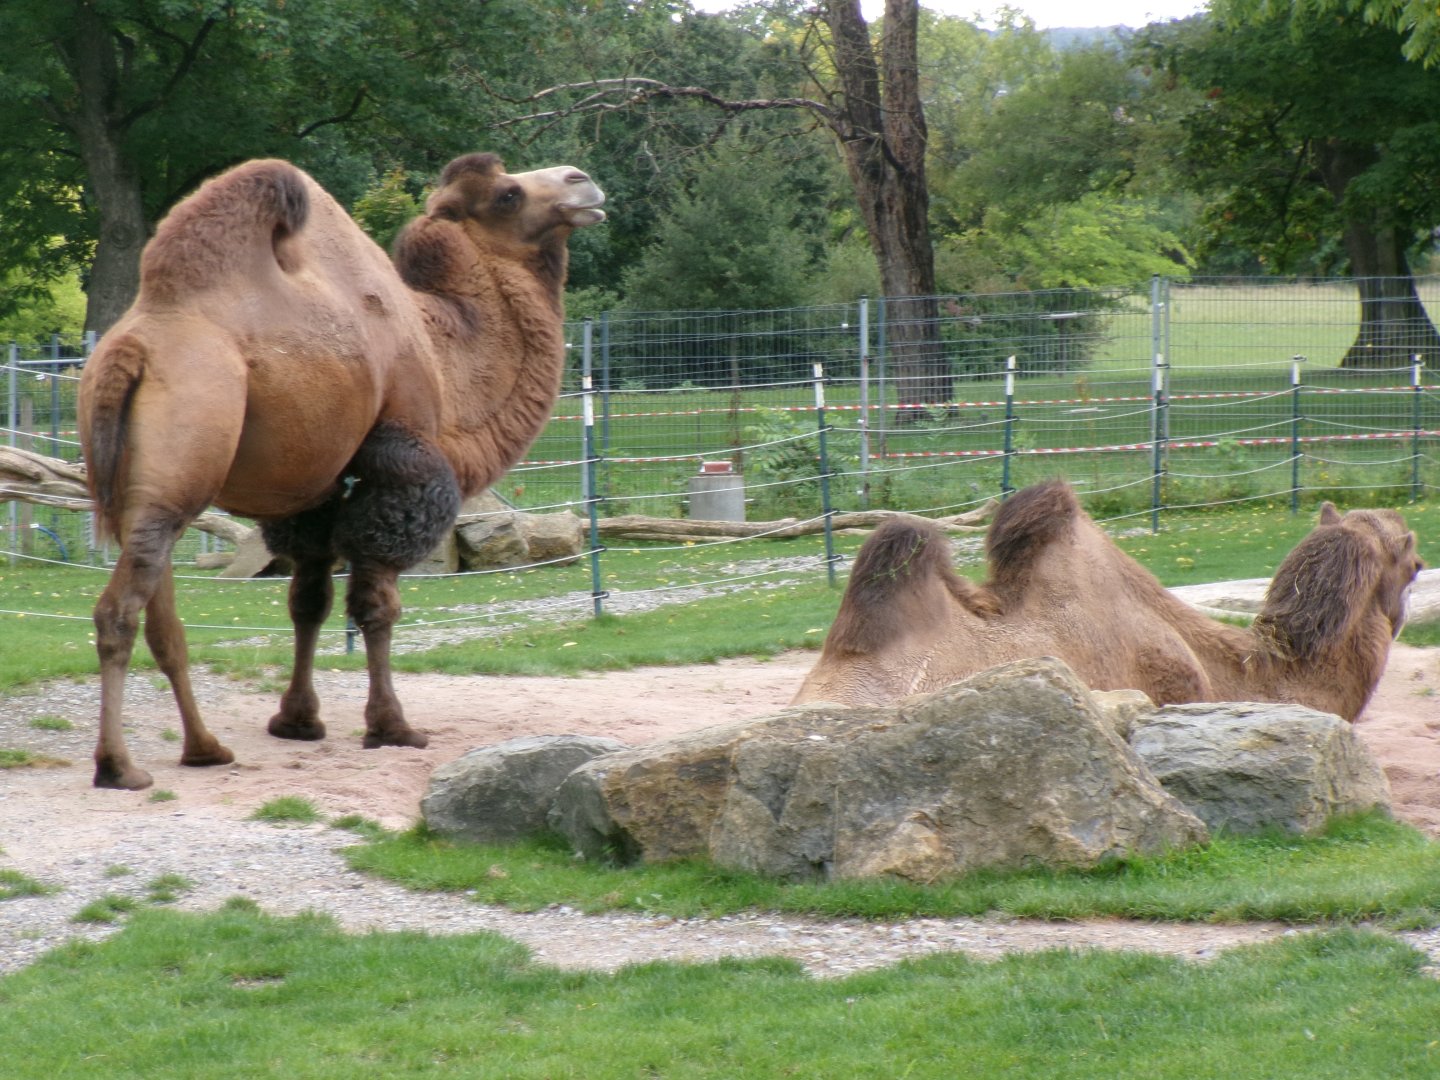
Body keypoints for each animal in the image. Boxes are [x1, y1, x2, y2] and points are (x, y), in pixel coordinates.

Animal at [79, 152, 605, 789]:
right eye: (508, 195)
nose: (582, 180)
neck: (443, 353)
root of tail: (129, 350)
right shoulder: (400, 464)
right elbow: (376, 604)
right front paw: (391, 727)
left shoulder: (316, 494)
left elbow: (308, 600)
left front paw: (297, 719)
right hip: (178, 469)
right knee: (118, 612)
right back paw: (119, 766)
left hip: (136, 493)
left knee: (162, 618)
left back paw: (205, 748)